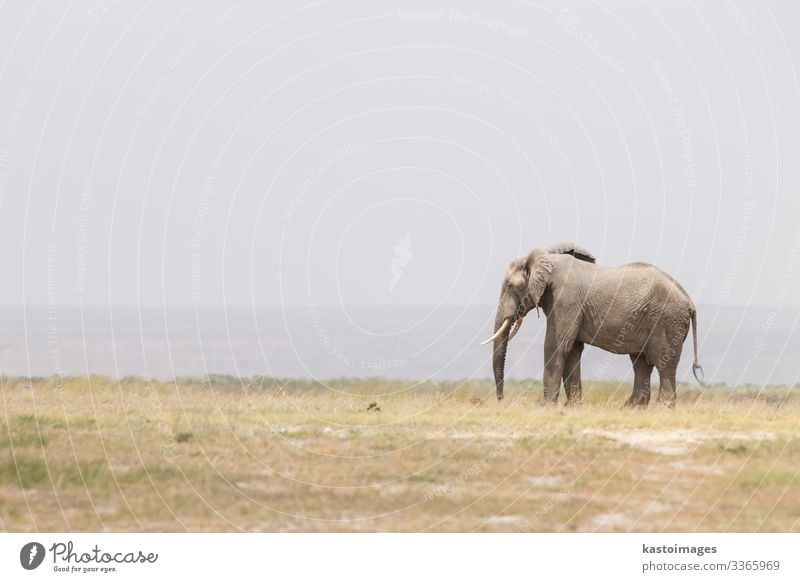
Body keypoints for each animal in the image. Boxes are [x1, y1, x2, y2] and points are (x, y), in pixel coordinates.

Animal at [482, 244, 700, 408]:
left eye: (510, 286)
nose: (501, 400)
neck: (548, 259)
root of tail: (690, 301)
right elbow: (572, 350)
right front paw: (573, 406)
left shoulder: (565, 300)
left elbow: (556, 345)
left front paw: (546, 406)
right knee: (641, 363)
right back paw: (631, 407)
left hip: (667, 321)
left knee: (663, 362)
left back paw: (662, 407)